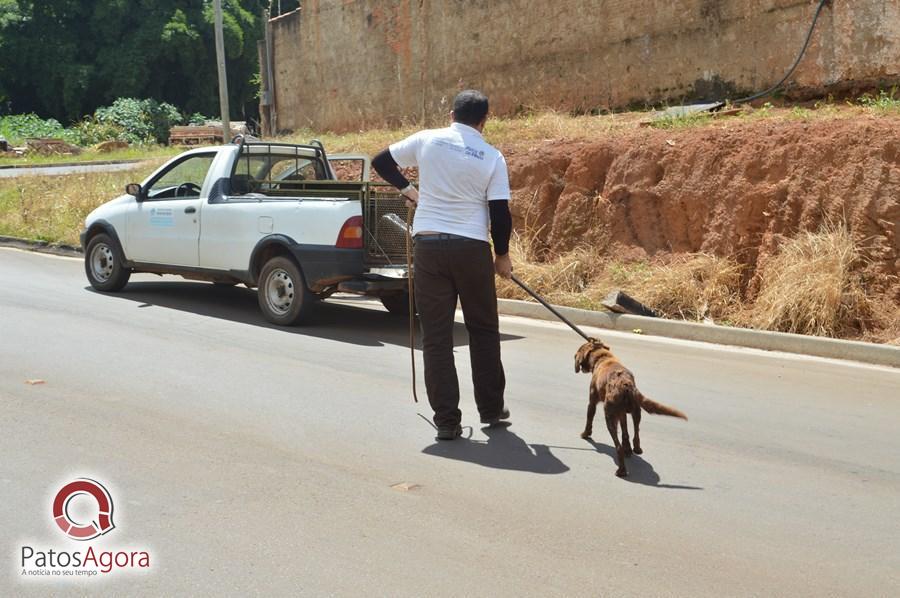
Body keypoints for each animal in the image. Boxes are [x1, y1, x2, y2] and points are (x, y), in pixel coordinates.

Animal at [576, 342, 688, 478]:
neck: (603, 357)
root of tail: (626, 384)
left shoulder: (592, 402)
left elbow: (589, 419)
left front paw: (585, 434)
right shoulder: (622, 413)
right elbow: (625, 432)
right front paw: (628, 448)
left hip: (609, 415)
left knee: (618, 446)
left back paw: (621, 470)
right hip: (636, 411)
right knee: (636, 433)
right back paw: (635, 449)